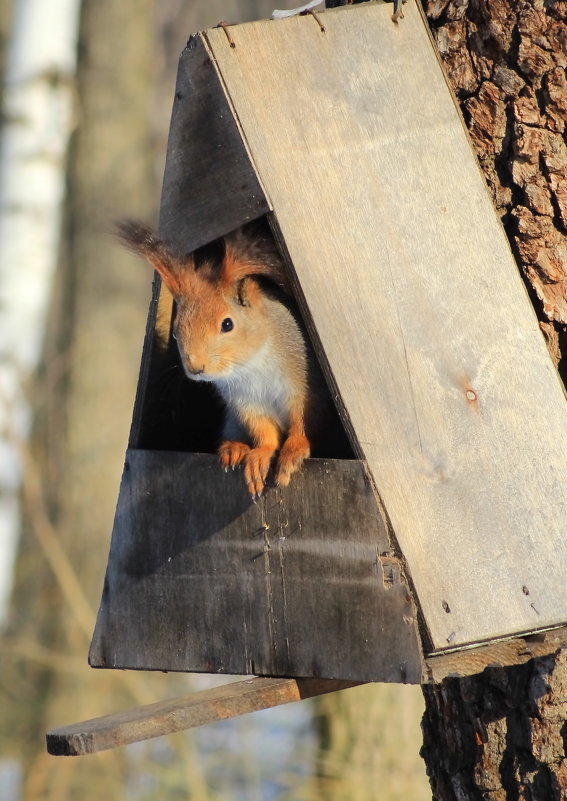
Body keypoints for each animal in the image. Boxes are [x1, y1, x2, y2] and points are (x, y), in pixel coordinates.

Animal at [117, 219, 328, 494]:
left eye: (227, 324)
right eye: (175, 332)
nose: (196, 368)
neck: (252, 366)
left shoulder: (303, 386)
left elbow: (302, 421)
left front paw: (293, 451)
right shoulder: (245, 402)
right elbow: (264, 432)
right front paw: (260, 455)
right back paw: (234, 448)